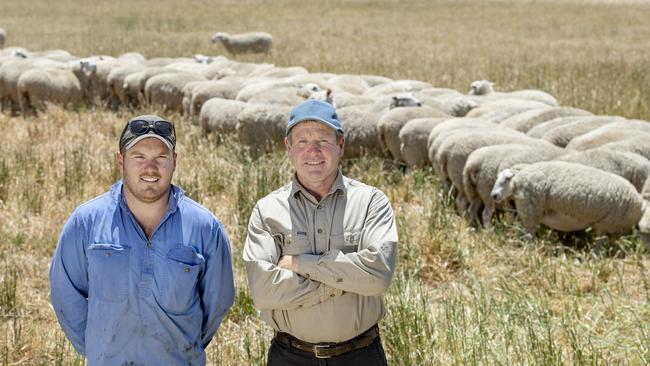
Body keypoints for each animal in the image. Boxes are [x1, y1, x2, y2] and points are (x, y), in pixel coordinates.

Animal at [492, 162, 644, 253]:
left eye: (507, 179)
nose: (493, 195)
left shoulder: (604, 223)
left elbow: (601, 241)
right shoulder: (605, 223)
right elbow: (599, 241)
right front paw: (596, 256)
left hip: (530, 210)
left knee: (527, 232)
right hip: (531, 209)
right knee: (529, 233)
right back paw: (528, 250)